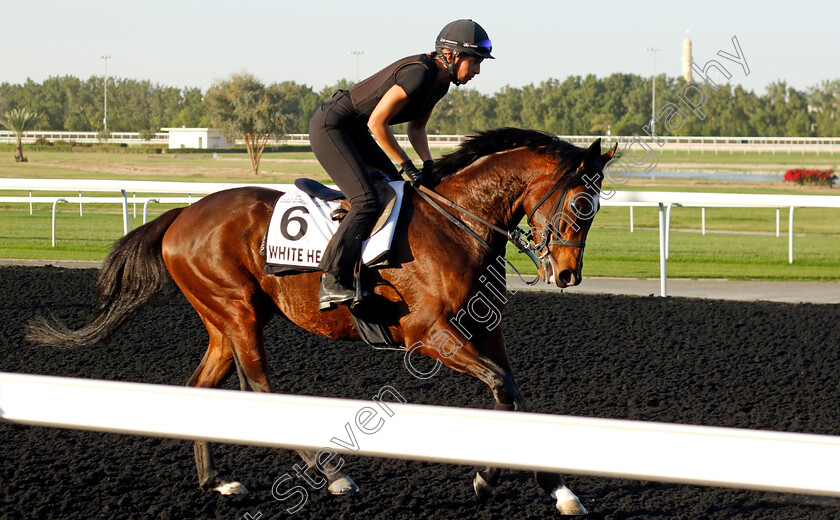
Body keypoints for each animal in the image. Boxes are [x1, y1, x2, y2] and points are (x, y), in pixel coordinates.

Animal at [27, 128, 616, 512]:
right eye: (579, 203)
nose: (568, 275)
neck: (458, 224)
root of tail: (181, 215)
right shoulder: (428, 336)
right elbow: (500, 387)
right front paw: (486, 479)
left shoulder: (483, 331)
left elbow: (512, 392)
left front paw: (560, 490)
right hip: (238, 311)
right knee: (260, 389)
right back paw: (330, 475)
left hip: (224, 319)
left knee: (203, 388)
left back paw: (217, 482)